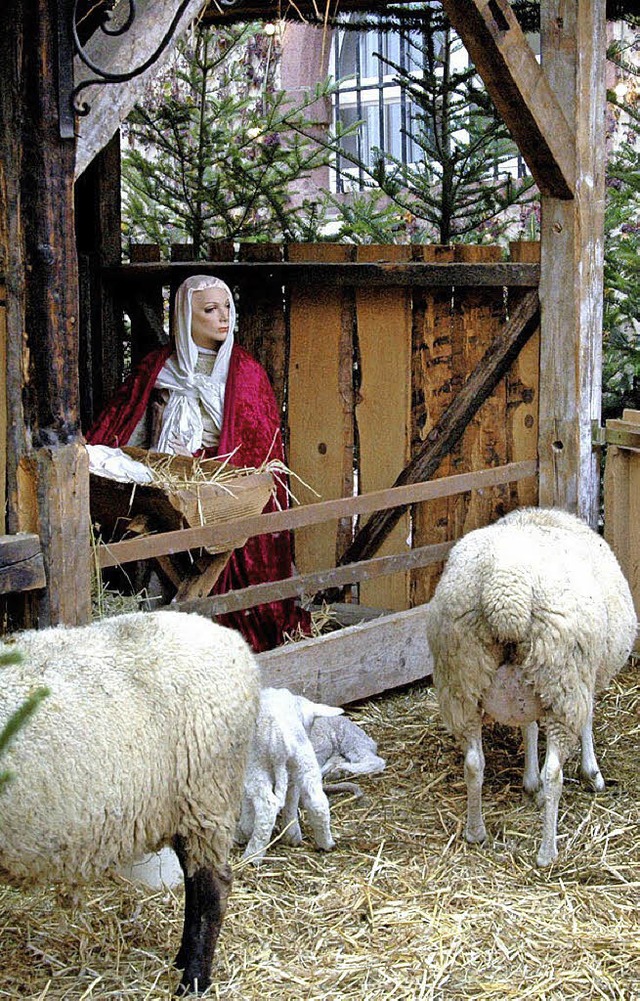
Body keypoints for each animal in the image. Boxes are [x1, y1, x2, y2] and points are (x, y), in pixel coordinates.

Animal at [0, 608, 260, 992]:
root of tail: (235, 643)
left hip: (207, 795)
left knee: (213, 888)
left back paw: (194, 979)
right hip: (181, 807)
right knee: (193, 883)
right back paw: (181, 958)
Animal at [236, 684, 344, 864]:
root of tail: (279, 737)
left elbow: (247, 804)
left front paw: (244, 830)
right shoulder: (292, 778)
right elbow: (291, 800)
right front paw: (292, 835)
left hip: (256, 765)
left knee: (266, 807)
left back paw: (252, 856)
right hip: (304, 760)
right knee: (318, 802)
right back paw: (326, 843)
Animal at [424, 508, 636, 868]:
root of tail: (506, 590)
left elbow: (529, 728)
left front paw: (529, 781)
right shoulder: (584, 679)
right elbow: (587, 722)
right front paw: (591, 773)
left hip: (462, 681)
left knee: (473, 763)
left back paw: (475, 832)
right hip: (563, 680)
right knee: (555, 773)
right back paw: (547, 852)